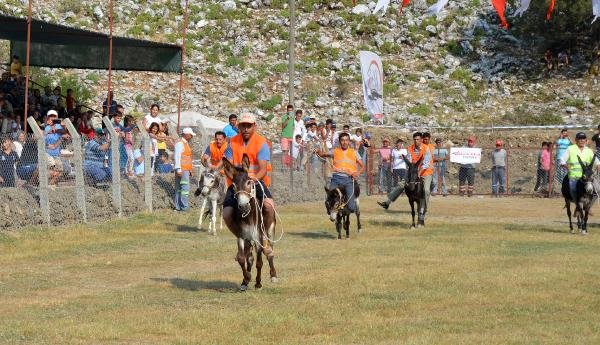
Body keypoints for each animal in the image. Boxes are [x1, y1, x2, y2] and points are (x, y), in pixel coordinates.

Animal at [221, 155, 278, 288]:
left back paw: (273, 275)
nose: (243, 206)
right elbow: (242, 258)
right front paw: (246, 278)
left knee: (269, 251)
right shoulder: (241, 236)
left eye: (249, 182)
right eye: (234, 186)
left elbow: (259, 262)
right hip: (248, 239)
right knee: (249, 257)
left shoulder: (258, 237)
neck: (247, 217)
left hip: (269, 230)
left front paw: (258, 283)